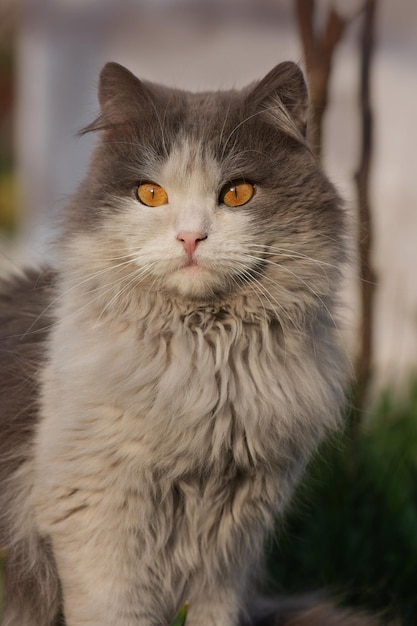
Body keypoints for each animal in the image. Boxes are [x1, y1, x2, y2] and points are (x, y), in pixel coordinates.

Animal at [0, 59, 364, 624]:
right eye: (151, 194)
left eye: (237, 193)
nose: (191, 238)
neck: (207, 365)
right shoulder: (97, 515)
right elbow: (116, 607)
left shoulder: (232, 541)